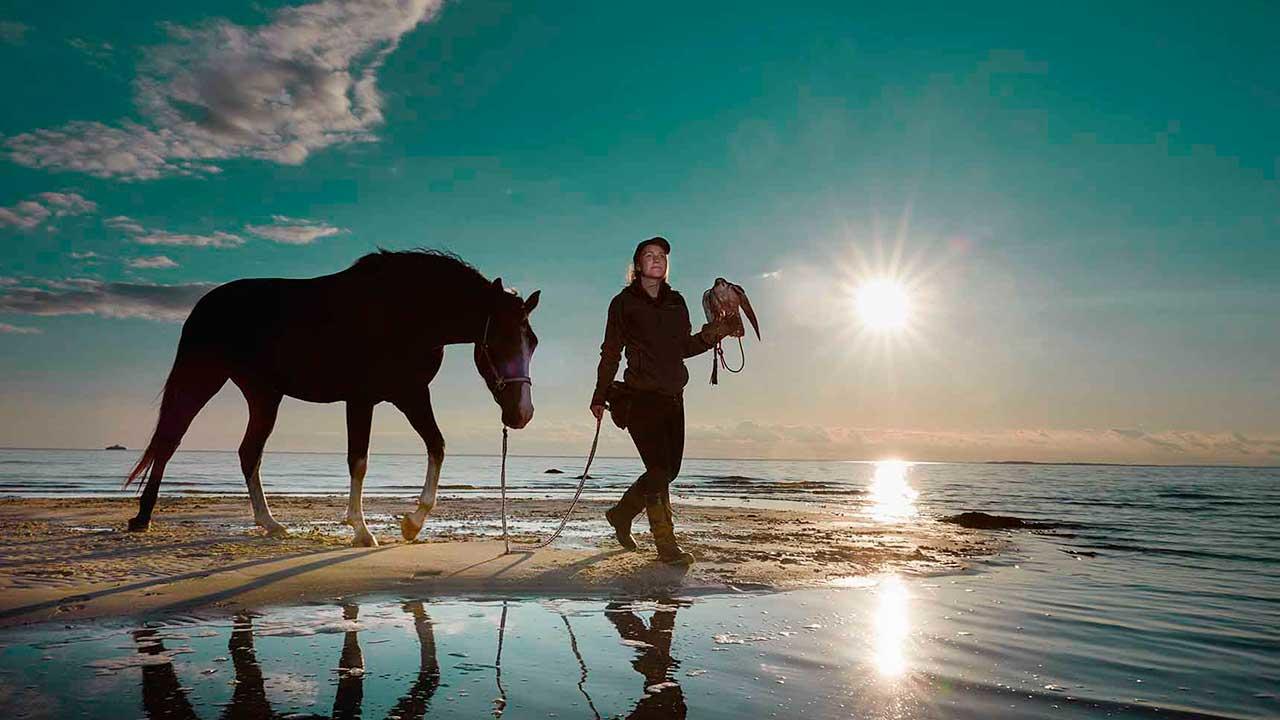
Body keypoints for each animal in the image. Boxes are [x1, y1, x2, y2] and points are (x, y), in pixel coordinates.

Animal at [122, 248, 537, 543]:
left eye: (531, 342)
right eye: (497, 341)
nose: (522, 414)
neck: (405, 313)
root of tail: (206, 304)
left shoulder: (411, 394)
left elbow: (437, 446)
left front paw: (412, 523)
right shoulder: (362, 400)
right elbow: (359, 461)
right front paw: (362, 530)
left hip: (264, 396)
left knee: (248, 453)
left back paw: (271, 524)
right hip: (203, 379)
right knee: (170, 441)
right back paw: (143, 518)